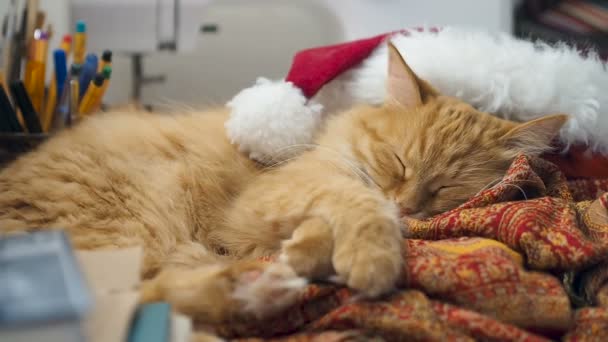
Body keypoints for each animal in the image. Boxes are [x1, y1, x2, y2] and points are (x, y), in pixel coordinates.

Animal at [0, 44, 564, 324]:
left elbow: (315, 233)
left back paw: (259, 285)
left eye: (444, 189)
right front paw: (373, 256)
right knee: (135, 300)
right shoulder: (270, 197)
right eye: (398, 163)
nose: (406, 205)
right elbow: (357, 201)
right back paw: (254, 290)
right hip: (133, 229)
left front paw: (309, 251)